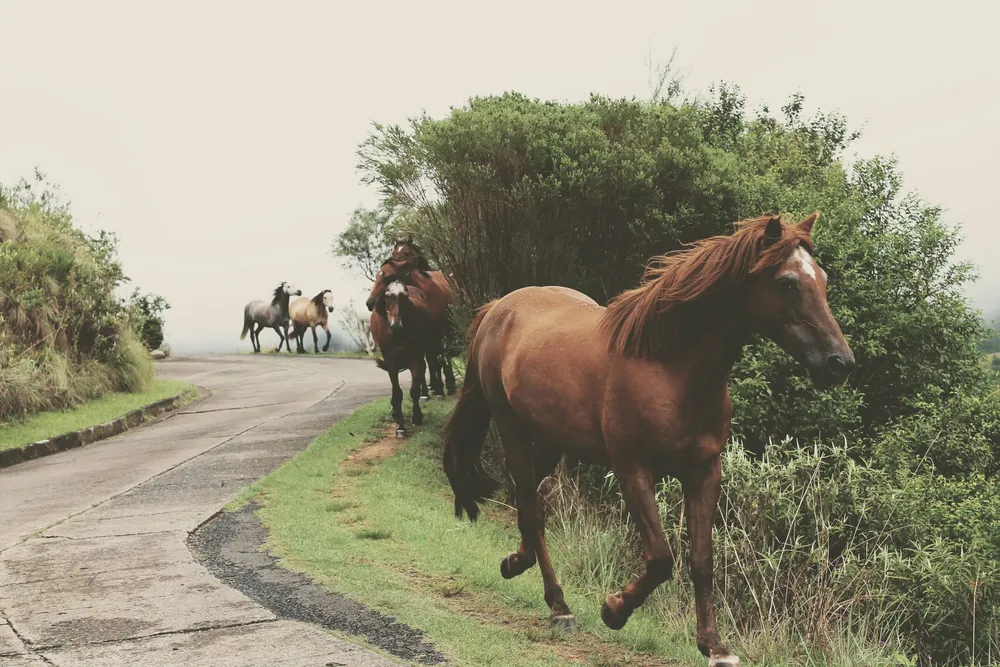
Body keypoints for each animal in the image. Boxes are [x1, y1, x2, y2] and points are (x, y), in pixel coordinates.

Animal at [371, 274, 443, 437]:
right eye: (387, 296)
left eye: (405, 296)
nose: (396, 326)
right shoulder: (391, 362)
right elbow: (397, 393)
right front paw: (400, 425)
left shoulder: (415, 358)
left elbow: (414, 390)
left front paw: (417, 416)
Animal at [441, 213, 854, 666]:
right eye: (788, 283)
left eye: (823, 278)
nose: (840, 363)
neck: (669, 369)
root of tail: (498, 307)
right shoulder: (633, 470)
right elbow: (659, 559)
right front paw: (613, 609)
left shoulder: (704, 472)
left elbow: (702, 560)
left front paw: (714, 645)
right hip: (513, 429)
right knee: (531, 511)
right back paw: (559, 607)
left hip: (550, 442)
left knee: (528, 504)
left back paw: (516, 563)